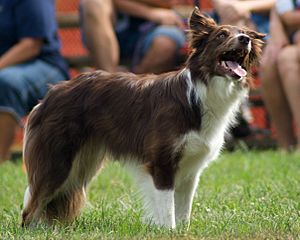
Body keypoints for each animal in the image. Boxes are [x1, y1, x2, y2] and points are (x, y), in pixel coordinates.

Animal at [22, 8, 264, 229]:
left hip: (81, 164)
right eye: (221, 35)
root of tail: (49, 95)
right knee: (30, 208)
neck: (200, 93)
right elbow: (167, 209)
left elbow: (183, 211)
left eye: (244, 34)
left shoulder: (191, 169)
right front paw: (168, 231)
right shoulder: (161, 162)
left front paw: (182, 231)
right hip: (58, 162)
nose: (245, 40)